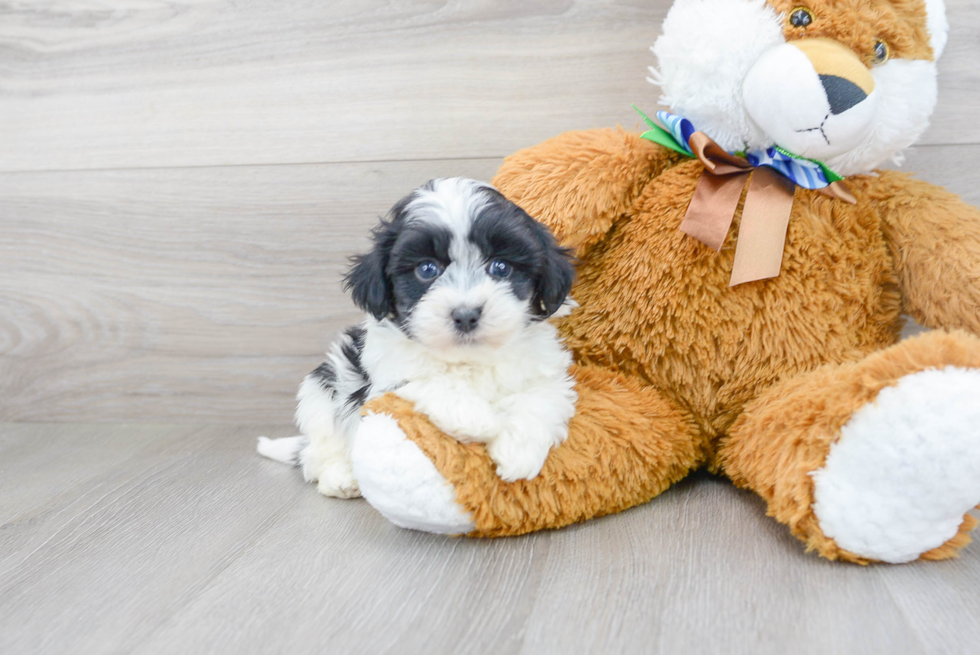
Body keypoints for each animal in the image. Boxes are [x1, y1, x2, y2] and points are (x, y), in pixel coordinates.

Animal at [256, 176, 580, 498]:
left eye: (501, 267)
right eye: (427, 269)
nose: (466, 314)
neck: (469, 358)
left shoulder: (544, 370)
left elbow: (542, 397)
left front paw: (518, 450)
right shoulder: (387, 378)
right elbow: (428, 379)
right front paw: (473, 416)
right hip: (321, 391)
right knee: (318, 451)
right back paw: (341, 477)